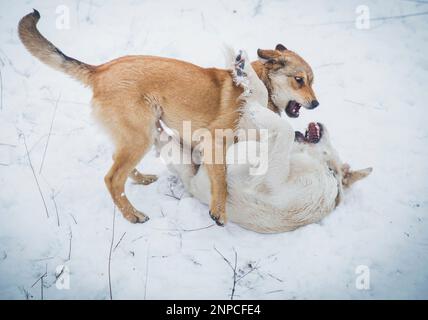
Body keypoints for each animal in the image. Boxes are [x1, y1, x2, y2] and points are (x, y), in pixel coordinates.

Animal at [18, 9, 318, 225]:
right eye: (299, 80)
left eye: (312, 81)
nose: (315, 103)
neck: (259, 88)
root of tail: (100, 70)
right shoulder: (214, 141)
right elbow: (221, 181)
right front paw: (219, 211)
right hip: (140, 137)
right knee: (112, 179)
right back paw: (132, 215)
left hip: (140, 133)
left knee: (118, 167)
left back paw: (140, 180)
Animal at [156, 50, 372, 232]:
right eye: (300, 80)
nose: (317, 106)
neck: (325, 168)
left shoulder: (270, 180)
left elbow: (279, 125)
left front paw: (249, 84)